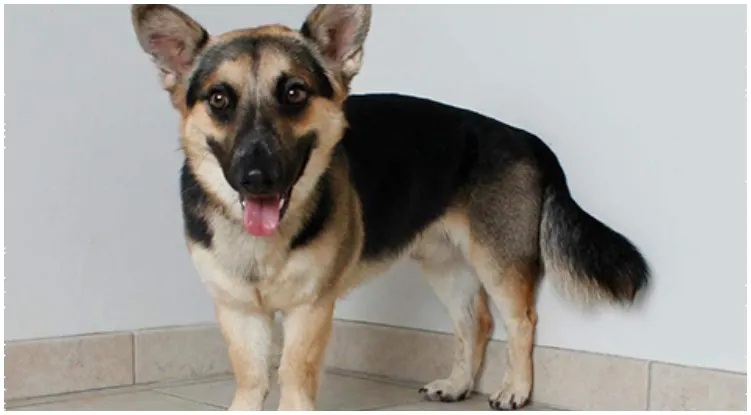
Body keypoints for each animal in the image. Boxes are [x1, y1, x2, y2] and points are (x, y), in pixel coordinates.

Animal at [131, 4, 652, 412]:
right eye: (220, 99)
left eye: (294, 92)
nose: (257, 178)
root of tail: (528, 139)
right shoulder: (238, 311)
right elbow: (252, 377)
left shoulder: (310, 309)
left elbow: (294, 375)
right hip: (444, 266)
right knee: (475, 323)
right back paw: (458, 385)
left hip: (498, 263)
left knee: (522, 321)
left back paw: (515, 389)